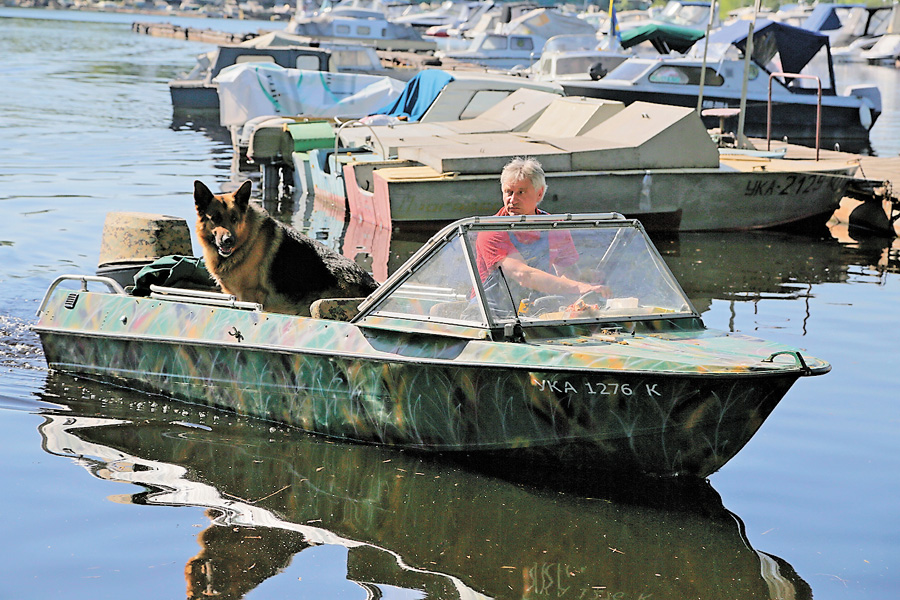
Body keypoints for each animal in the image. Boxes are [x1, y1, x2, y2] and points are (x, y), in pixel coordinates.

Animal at [195, 178, 378, 316]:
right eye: (215, 218)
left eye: (234, 218)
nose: (228, 241)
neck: (246, 242)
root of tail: (373, 287)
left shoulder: (249, 297)